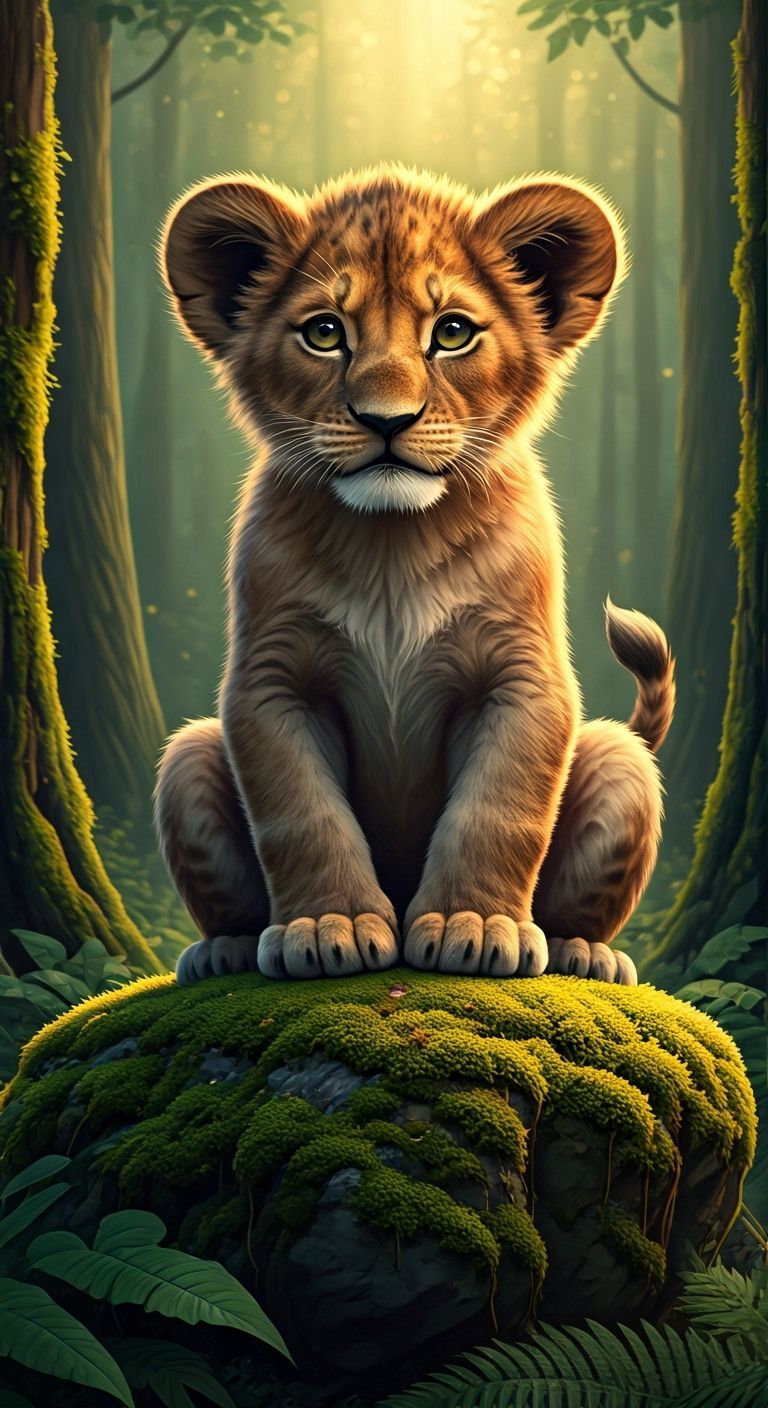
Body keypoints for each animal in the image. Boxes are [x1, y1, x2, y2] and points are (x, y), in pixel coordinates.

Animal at [156, 163, 675, 987]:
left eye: (452, 332)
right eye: (325, 332)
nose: (386, 420)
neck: (392, 544)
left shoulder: (520, 677)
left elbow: (498, 810)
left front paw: (478, 928)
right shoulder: (272, 681)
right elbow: (301, 815)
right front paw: (327, 929)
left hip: (620, 758)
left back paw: (584, 953)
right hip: (186, 758)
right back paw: (224, 950)